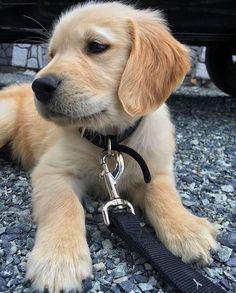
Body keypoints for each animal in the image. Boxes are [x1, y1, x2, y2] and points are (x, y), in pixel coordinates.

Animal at [0, 1, 218, 290]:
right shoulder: (53, 169)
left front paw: (187, 229)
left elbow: (164, 195)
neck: (112, 140)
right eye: (52, 54)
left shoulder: (155, 168)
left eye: (96, 46)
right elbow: (63, 205)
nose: (40, 86)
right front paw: (58, 259)